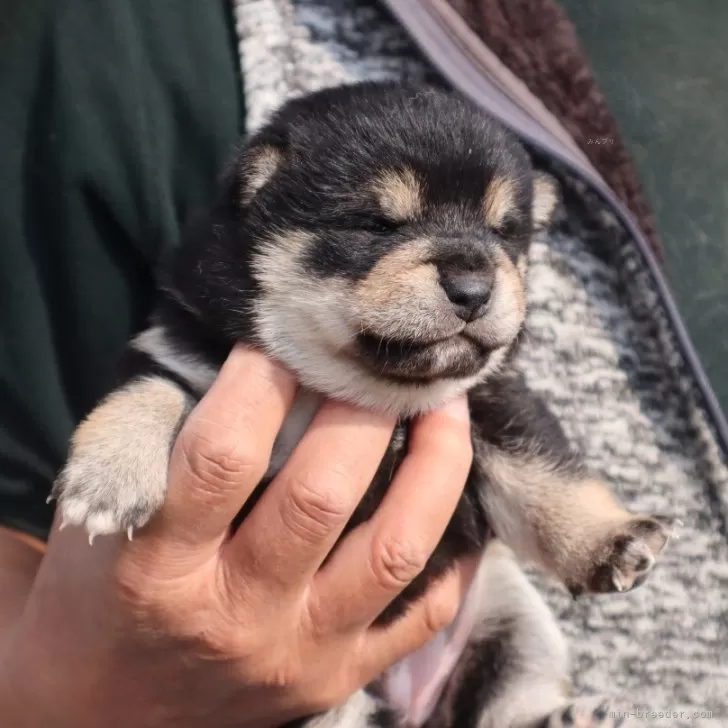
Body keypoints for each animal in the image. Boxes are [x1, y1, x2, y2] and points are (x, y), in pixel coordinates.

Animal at [54, 85, 672, 728]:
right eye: (377, 225)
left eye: (505, 233)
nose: (474, 289)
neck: (351, 384)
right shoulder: (177, 348)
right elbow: (148, 391)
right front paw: (108, 478)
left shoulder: (489, 401)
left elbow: (547, 475)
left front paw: (613, 538)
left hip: (511, 618)